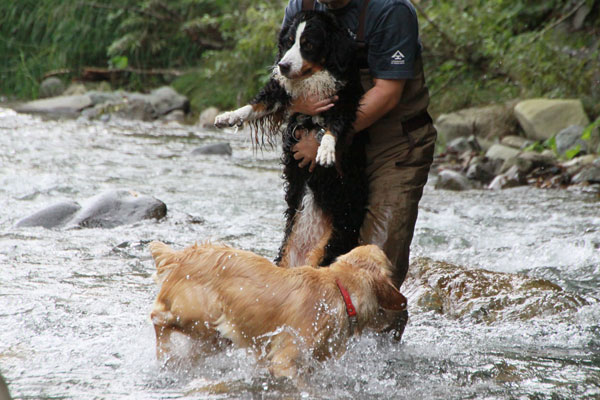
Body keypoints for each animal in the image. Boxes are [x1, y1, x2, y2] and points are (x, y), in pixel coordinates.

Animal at [216, 10, 366, 268]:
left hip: (331, 244)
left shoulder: (345, 100)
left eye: (308, 44)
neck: (314, 78)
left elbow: (333, 127)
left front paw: (325, 150)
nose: (283, 65)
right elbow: (256, 105)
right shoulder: (282, 93)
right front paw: (229, 116)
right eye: (288, 42)